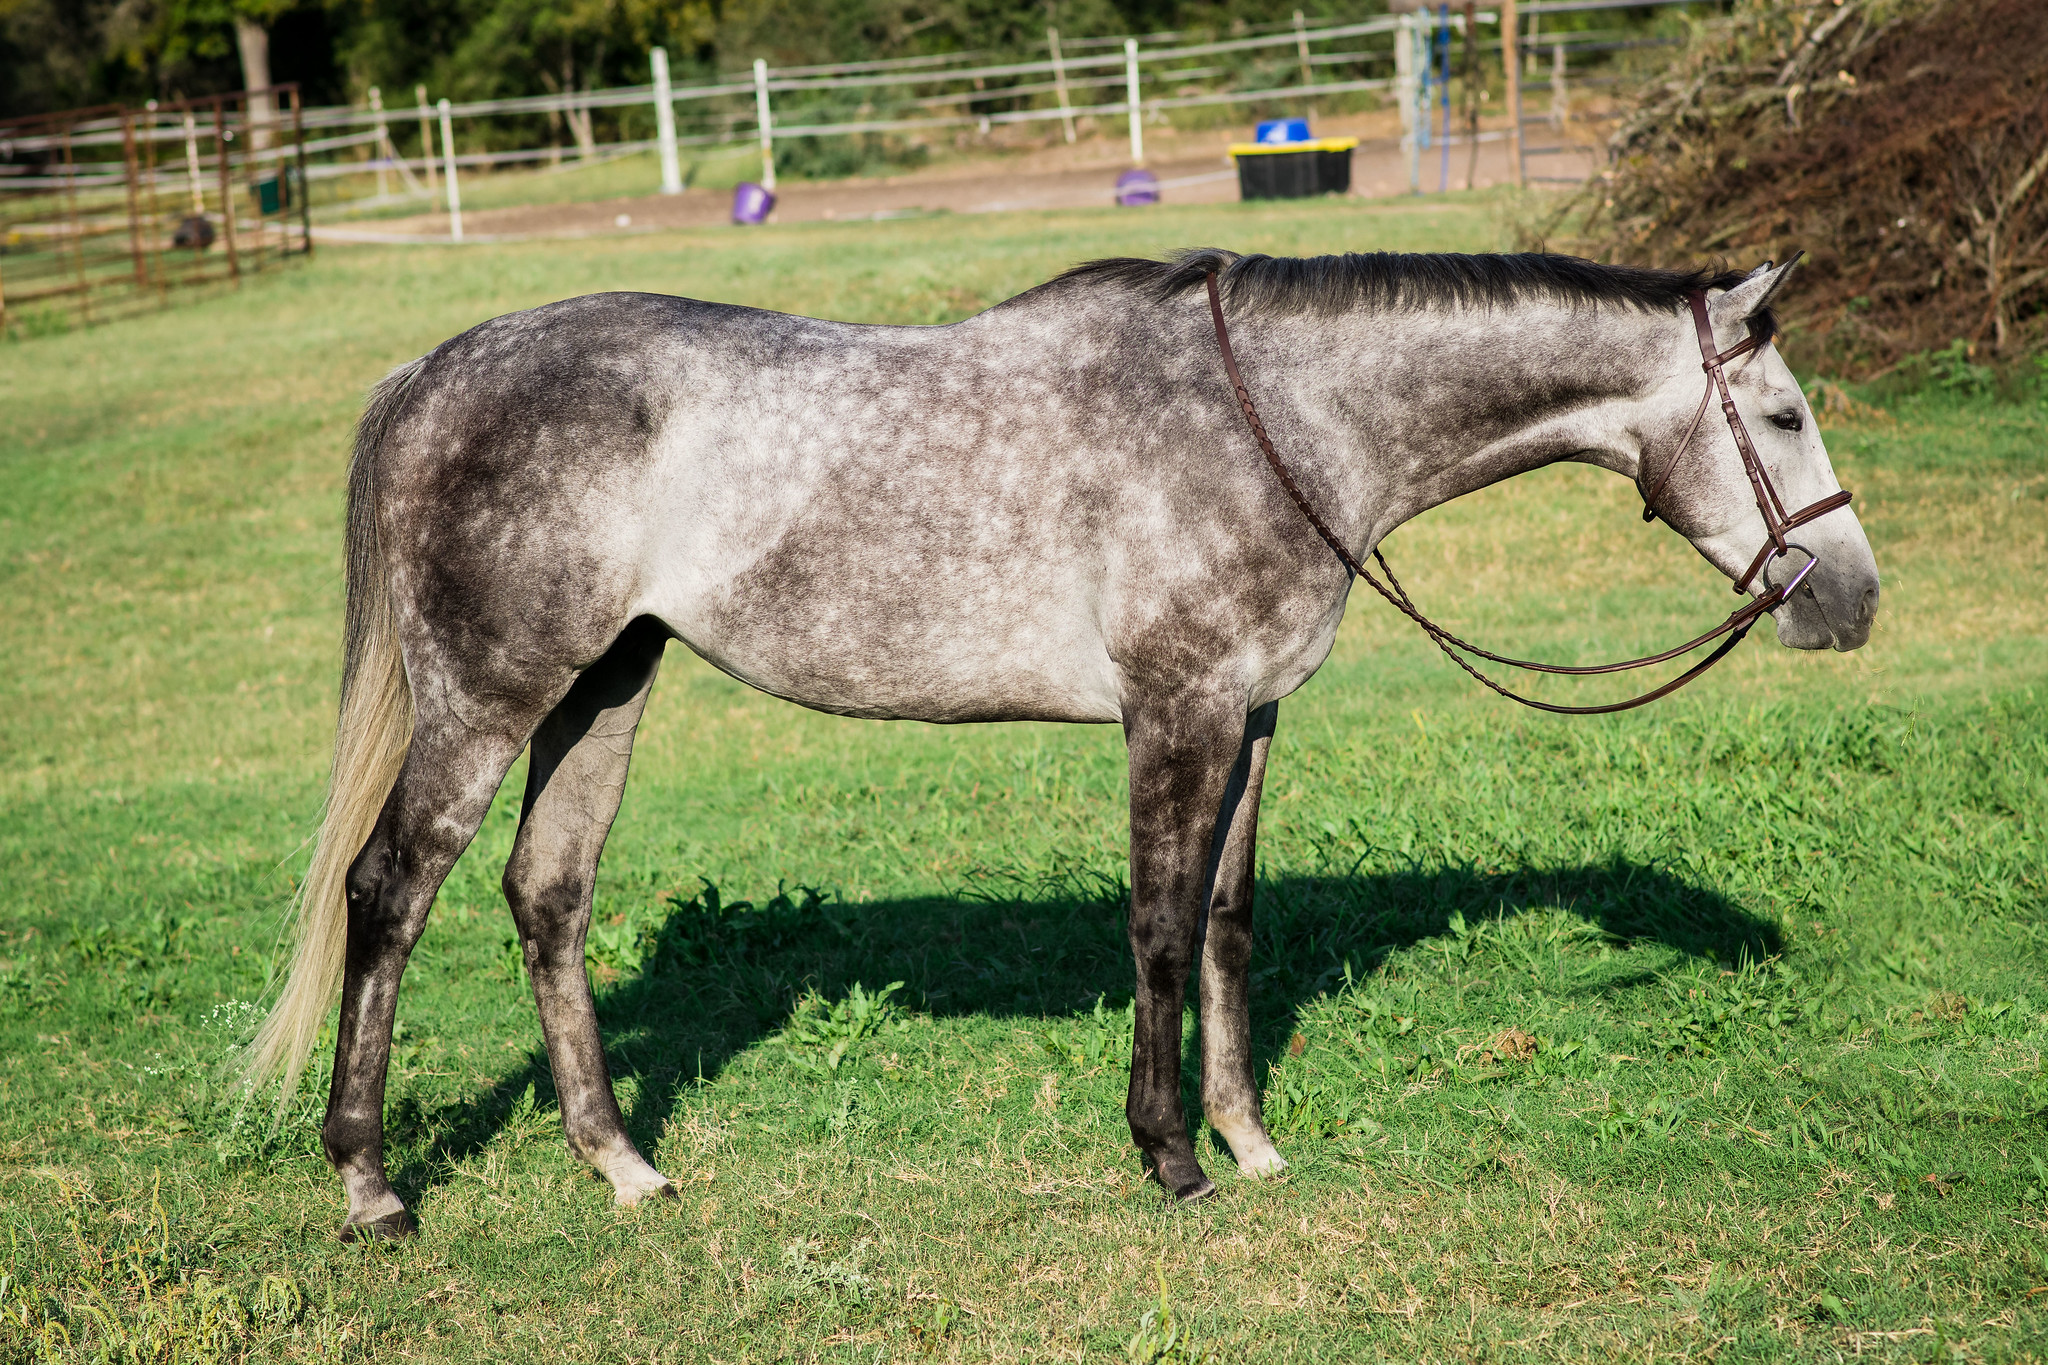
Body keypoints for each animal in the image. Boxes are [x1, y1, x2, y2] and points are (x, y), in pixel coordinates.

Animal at [246, 248, 1879, 1240]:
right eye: (1783, 418)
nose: (1851, 599)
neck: (1275, 423)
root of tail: (435, 372)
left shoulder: (1253, 715)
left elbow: (1225, 923)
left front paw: (1249, 1139)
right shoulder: (1177, 710)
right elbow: (1155, 925)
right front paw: (1169, 1156)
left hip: (608, 684)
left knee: (549, 894)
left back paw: (625, 1166)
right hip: (490, 696)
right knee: (390, 892)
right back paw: (372, 1188)